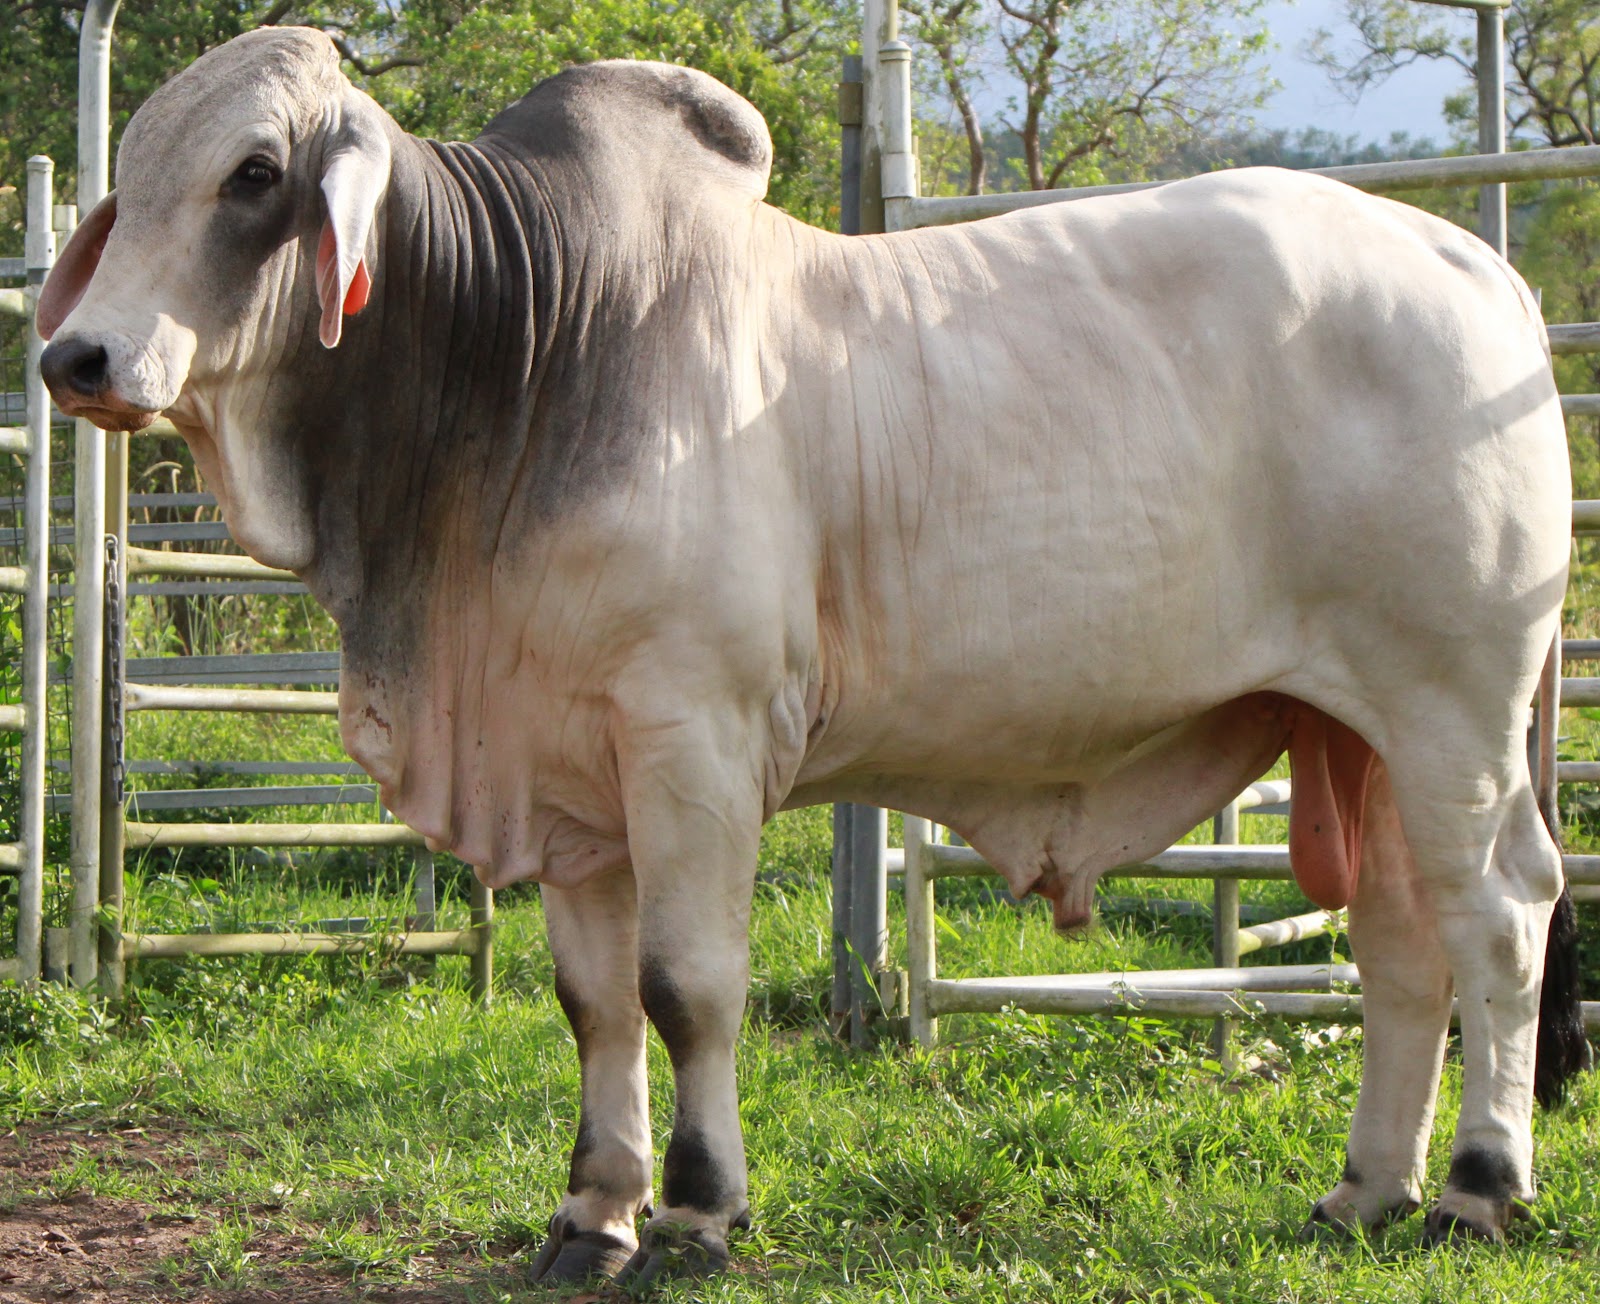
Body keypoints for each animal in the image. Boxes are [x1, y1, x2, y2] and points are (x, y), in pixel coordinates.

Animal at [37, 26, 1589, 1287]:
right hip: (1358, 729)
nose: (75, 359)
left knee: (1500, 916)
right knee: (1400, 943)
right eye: (132, 169)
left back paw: (1477, 1187)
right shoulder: (568, 768)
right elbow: (593, 1003)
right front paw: (590, 1214)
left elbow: (685, 987)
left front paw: (695, 1211)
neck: (522, 349)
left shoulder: (694, 734)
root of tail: (1483, 271)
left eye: (252, 173)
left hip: (1451, 708)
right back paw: (1366, 1189)